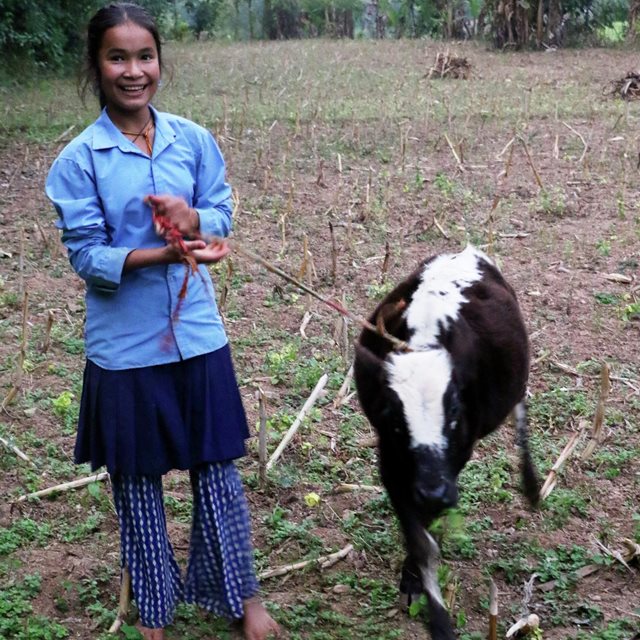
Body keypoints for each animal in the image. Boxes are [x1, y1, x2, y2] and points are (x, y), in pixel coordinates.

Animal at [356, 246, 540, 640]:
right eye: (395, 420)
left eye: (455, 410)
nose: (434, 493)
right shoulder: (390, 458)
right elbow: (419, 541)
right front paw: (429, 606)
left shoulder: (457, 456)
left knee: (520, 409)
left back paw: (532, 484)